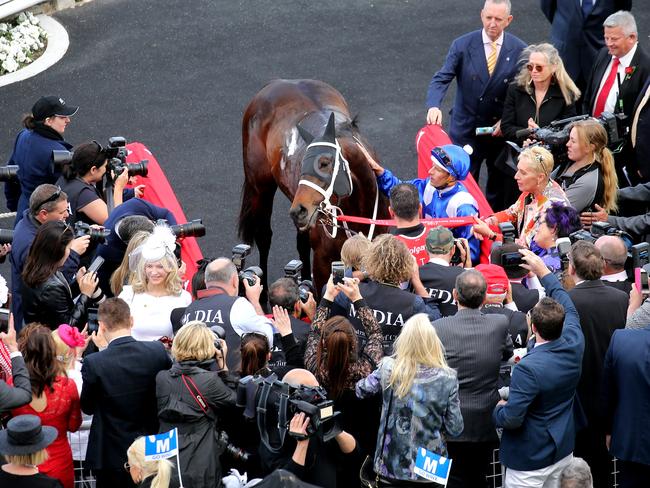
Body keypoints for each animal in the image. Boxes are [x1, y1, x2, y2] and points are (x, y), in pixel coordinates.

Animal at [238, 79, 390, 298]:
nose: (299, 209)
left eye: (324, 163)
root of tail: (281, 82)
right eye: (303, 163)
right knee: (264, 235)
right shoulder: (323, 260)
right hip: (261, 187)